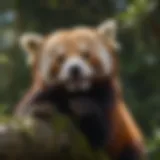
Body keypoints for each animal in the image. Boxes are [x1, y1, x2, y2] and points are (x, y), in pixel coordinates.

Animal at [14, 19, 146, 159]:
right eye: (60, 59)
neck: (74, 91)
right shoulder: (43, 94)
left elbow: (100, 133)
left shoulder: (108, 98)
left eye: (85, 55)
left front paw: (82, 106)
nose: (74, 69)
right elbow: (26, 113)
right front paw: (40, 109)